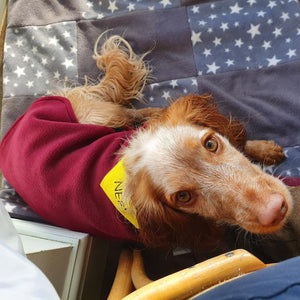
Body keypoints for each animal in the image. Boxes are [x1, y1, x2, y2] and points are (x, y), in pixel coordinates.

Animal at [0, 35, 292, 251]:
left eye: (211, 144)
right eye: (183, 197)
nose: (275, 209)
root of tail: (19, 121)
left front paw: (263, 149)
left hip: (105, 116)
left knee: (136, 114)